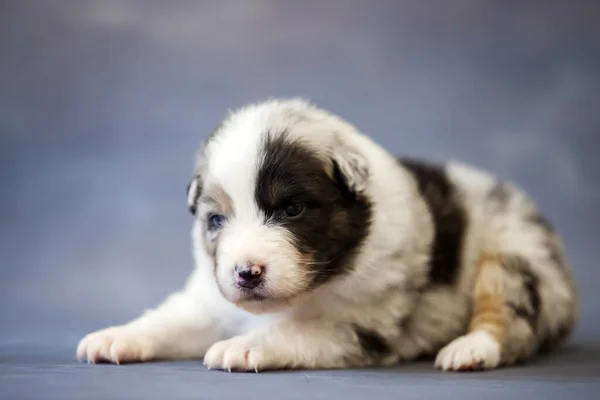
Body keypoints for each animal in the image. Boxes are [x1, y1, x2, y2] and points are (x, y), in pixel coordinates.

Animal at [75, 97, 576, 372]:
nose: (246, 273)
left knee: (509, 318)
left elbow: (292, 332)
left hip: (514, 257)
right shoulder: (209, 298)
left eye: (292, 209)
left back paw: (468, 350)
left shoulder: (359, 324)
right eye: (216, 220)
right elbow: (170, 318)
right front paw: (113, 338)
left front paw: (241, 347)